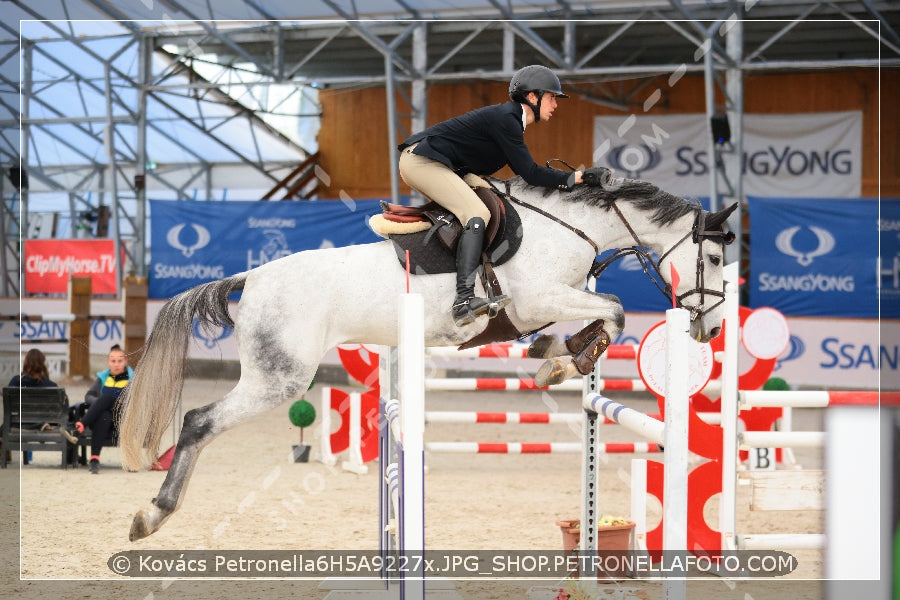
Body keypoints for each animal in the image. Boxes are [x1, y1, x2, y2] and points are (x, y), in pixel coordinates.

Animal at [119, 173, 736, 540]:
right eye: (712, 257)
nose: (711, 328)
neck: (568, 228)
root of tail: (250, 277)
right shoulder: (537, 299)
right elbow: (614, 310)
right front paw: (565, 359)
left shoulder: (541, 305)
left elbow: (599, 314)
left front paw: (553, 354)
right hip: (280, 378)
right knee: (199, 421)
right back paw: (152, 513)